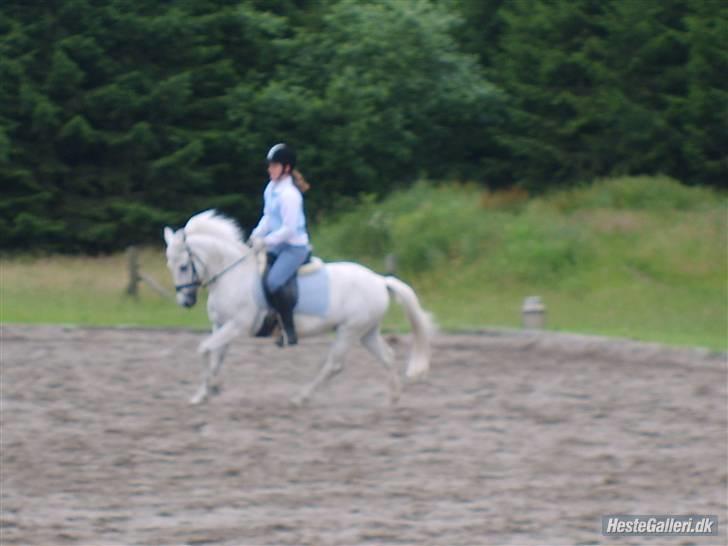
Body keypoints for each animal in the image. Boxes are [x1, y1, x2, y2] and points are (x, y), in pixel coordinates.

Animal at [164, 208, 436, 404]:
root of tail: (380, 280)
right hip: (366, 332)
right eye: (170, 266)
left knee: (334, 365)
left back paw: (302, 397)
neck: (232, 275)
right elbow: (215, 357)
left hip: (349, 331)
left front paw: (209, 388)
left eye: (183, 266)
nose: (185, 302)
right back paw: (394, 398)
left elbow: (203, 350)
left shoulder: (236, 326)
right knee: (387, 356)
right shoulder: (220, 326)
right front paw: (206, 392)